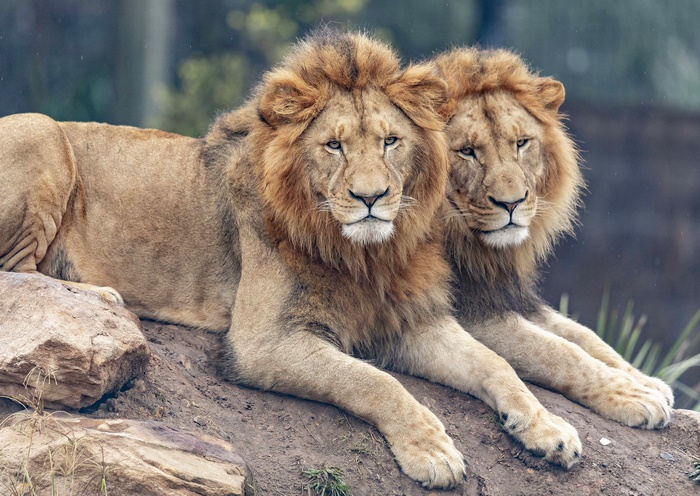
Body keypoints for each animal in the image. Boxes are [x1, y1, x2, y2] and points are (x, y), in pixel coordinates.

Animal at [1, 31, 582, 488]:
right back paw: (100, 292)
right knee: (17, 272)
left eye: (391, 142)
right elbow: (372, 381)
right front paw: (432, 451)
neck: (365, 253)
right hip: (42, 130)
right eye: (334, 146)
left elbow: (496, 364)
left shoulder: (409, 320)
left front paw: (549, 429)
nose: (371, 197)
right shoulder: (263, 343)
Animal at [433, 47, 673, 430]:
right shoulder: (471, 311)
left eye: (521, 143)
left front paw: (646, 380)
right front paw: (635, 396)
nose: (511, 202)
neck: (480, 248)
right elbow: (561, 351)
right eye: (467, 151)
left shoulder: (510, 294)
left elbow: (585, 336)